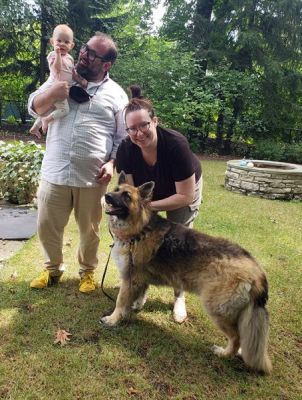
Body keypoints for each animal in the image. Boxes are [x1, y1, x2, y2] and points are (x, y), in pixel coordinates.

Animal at [101, 173, 272, 376]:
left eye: (127, 196)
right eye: (116, 189)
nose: (107, 197)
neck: (140, 227)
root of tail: (256, 269)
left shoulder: (129, 279)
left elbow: (120, 302)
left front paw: (113, 319)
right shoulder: (138, 279)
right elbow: (137, 296)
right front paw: (133, 308)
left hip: (216, 309)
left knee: (236, 337)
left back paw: (224, 353)